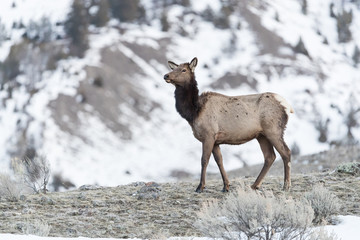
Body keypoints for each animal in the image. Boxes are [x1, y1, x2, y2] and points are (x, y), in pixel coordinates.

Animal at [163, 57, 292, 192]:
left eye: (183, 70)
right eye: (174, 68)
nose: (166, 75)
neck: (194, 112)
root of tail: (287, 106)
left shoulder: (208, 135)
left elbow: (204, 160)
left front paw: (200, 186)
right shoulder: (216, 140)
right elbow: (219, 161)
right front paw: (226, 186)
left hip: (274, 130)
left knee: (286, 153)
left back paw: (286, 185)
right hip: (261, 135)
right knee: (269, 156)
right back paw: (255, 185)